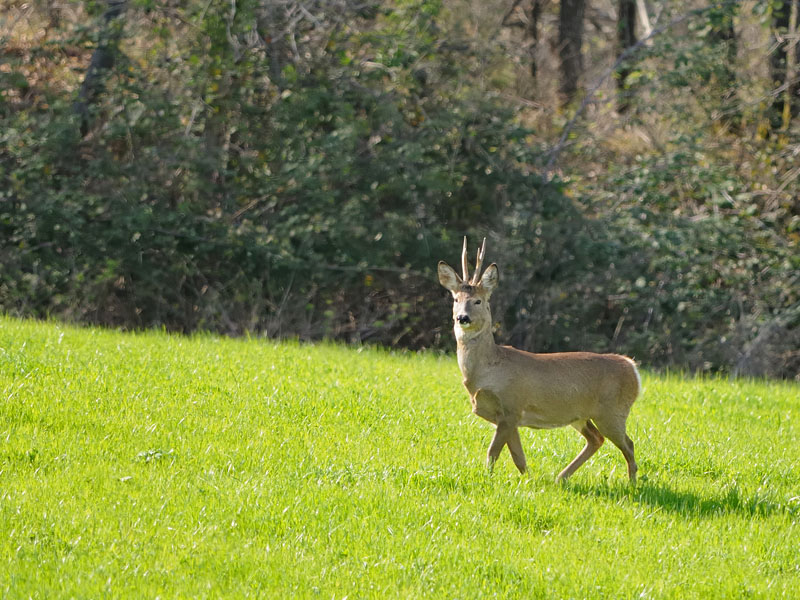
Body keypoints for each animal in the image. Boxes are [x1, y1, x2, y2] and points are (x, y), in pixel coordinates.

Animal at [438, 238, 636, 482]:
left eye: (478, 301)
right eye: (456, 299)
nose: (462, 317)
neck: (485, 371)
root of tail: (632, 366)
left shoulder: (512, 406)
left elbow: (493, 451)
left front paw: (487, 480)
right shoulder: (507, 417)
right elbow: (518, 456)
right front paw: (527, 480)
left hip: (612, 411)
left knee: (628, 444)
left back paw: (632, 484)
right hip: (581, 415)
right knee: (596, 439)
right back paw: (561, 478)